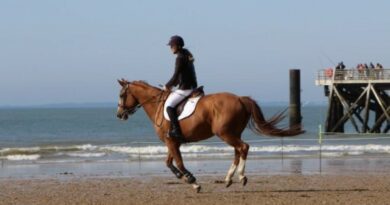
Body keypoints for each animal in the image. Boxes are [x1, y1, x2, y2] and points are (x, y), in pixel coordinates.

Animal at [116, 79, 304, 191]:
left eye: (122, 94)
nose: (119, 115)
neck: (158, 104)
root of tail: (240, 98)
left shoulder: (171, 142)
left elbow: (179, 163)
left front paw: (193, 181)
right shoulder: (172, 142)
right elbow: (169, 163)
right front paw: (183, 177)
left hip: (225, 133)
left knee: (243, 147)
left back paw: (241, 176)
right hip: (232, 133)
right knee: (238, 151)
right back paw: (228, 179)